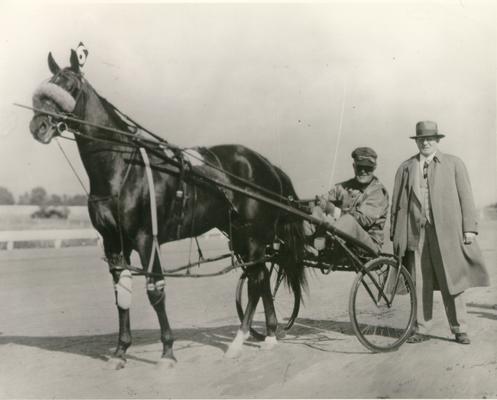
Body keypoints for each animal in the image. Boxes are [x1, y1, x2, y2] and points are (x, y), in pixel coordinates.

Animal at [29, 48, 306, 370]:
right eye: (48, 85)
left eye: (70, 87)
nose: (38, 126)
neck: (121, 167)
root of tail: (266, 163)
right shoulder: (113, 242)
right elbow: (121, 295)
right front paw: (120, 351)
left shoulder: (145, 239)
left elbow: (155, 291)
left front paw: (167, 352)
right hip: (239, 233)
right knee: (259, 278)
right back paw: (270, 335)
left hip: (252, 236)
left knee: (256, 280)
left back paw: (239, 341)